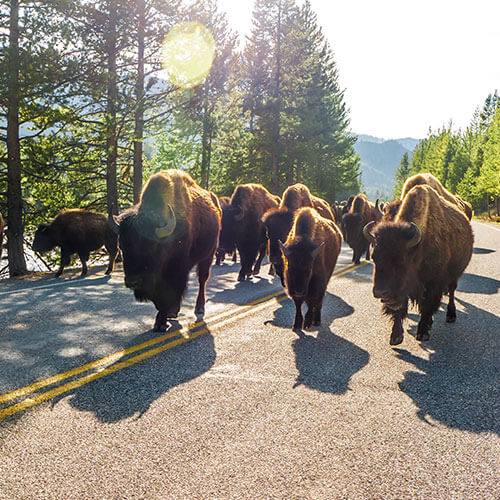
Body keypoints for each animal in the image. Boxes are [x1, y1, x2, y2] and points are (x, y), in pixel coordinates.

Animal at [110, 169, 222, 332]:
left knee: (202, 280)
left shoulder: (177, 270)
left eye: (151, 246)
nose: (133, 282)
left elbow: (169, 294)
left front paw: (160, 323)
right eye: (122, 246)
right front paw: (169, 314)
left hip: (208, 255)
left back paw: (199, 308)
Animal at [364, 184, 472, 344]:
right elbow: (400, 309)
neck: (418, 248)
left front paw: (422, 333)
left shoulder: (433, 284)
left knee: (451, 291)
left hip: (454, 275)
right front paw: (395, 336)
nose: (380, 292)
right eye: (374, 257)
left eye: (402, 259)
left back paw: (450, 316)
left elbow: (427, 307)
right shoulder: (403, 291)